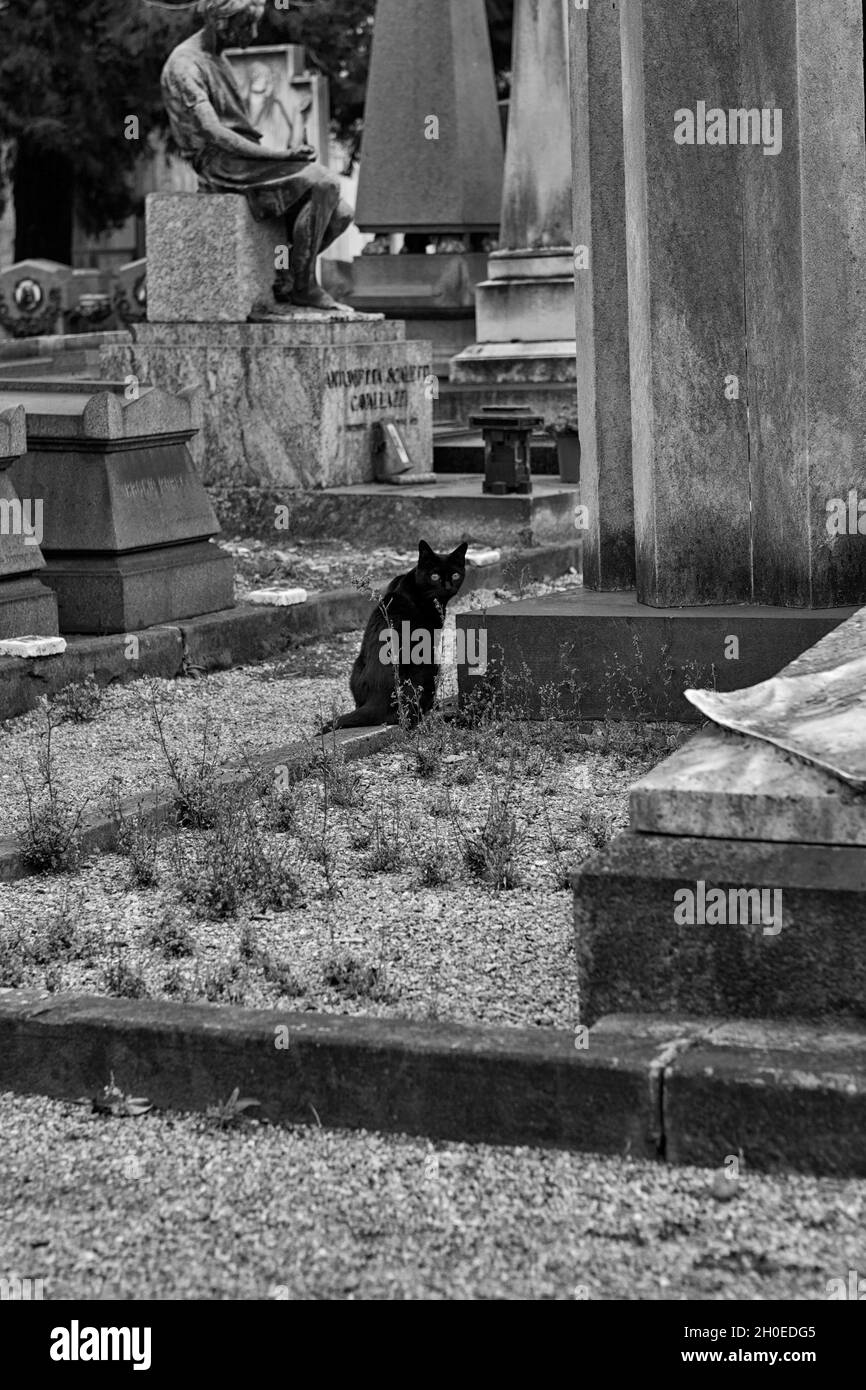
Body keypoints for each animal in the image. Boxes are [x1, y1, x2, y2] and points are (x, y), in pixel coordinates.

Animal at [323, 533, 467, 728]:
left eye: (455, 574)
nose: (447, 586)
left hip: (356, 667)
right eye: (435, 576)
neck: (413, 584)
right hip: (431, 664)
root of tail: (376, 699)